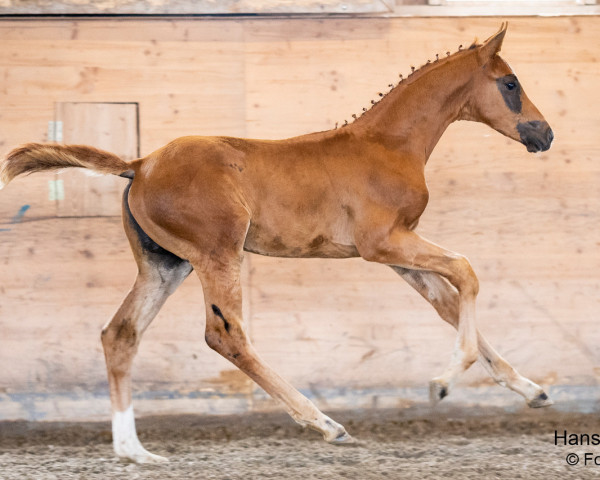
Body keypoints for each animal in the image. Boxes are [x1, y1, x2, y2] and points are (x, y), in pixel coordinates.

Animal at [0, 22, 552, 462]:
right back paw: (325, 424)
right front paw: (443, 383)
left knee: (120, 334)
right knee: (225, 335)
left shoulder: (399, 252)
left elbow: (449, 305)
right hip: (217, 254)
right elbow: (466, 273)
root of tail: (139, 164)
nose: (543, 134)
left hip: (166, 265)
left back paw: (134, 452)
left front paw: (532, 391)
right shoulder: (383, 244)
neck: (387, 146)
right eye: (510, 83)